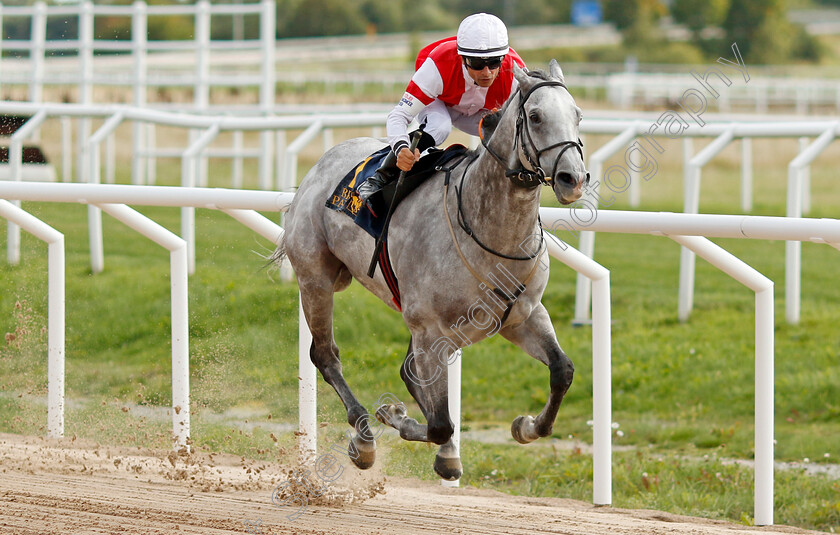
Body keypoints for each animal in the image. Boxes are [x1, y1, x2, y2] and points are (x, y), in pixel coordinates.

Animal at [278, 59, 592, 482]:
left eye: (578, 116)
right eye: (537, 117)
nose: (572, 179)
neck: (491, 231)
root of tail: (320, 165)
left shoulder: (522, 316)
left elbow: (562, 370)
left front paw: (526, 426)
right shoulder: (429, 328)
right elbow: (440, 422)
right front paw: (397, 419)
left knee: (405, 372)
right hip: (316, 278)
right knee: (325, 355)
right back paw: (364, 436)